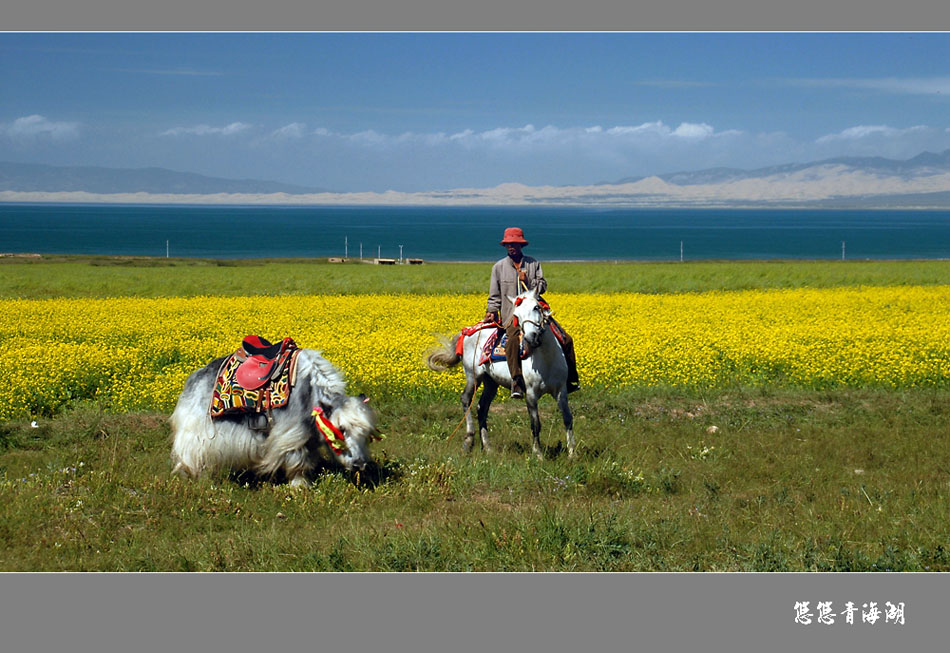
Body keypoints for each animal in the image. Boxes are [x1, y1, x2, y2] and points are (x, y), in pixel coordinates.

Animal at [173, 348, 382, 486]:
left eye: (366, 434)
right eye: (341, 429)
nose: (360, 464)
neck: (312, 393)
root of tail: (195, 376)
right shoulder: (292, 434)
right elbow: (298, 462)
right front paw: (300, 487)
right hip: (197, 429)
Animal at [428, 286, 576, 458]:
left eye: (536, 307)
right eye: (516, 315)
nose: (531, 338)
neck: (546, 357)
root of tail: (468, 331)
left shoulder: (561, 391)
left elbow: (568, 418)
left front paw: (572, 454)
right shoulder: (531, 394)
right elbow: (535, 424)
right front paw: (538, 454)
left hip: (491, 382)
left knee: (482, 407)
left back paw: (488, 447)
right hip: (473, 376)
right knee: (466, 399)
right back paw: (468, 440)